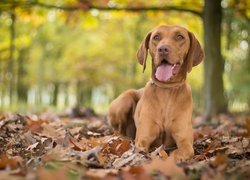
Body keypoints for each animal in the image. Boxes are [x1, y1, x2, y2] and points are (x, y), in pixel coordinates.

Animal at [108, 24, 204, 161]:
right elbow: (142, 148)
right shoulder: (143, 139)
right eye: (156, 37)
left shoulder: (185, 142)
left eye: (180, 37)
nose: (162, 49)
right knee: (117, 130)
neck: (167, 90)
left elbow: (179, 153)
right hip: (125, 100)